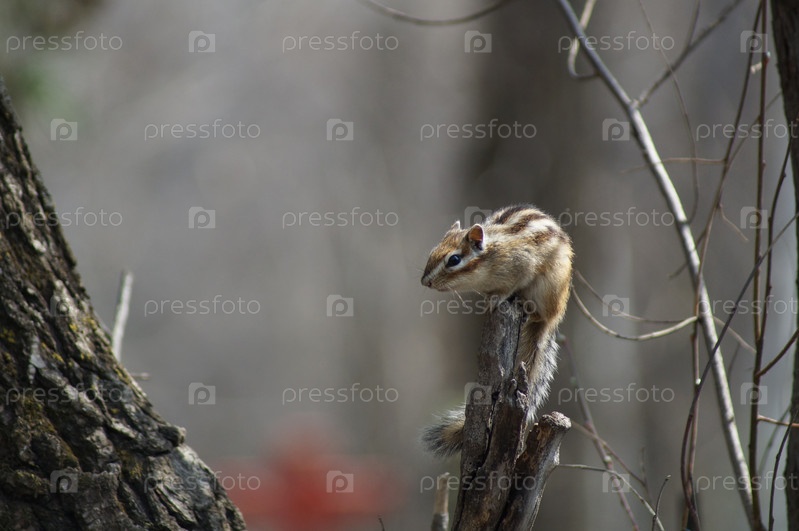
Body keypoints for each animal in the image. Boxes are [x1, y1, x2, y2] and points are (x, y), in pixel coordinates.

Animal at [420, 204, 573, 457]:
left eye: (454, 259)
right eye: (433, 252)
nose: (425, 282)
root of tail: (556, 315)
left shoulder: (523, 265)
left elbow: (510, 286)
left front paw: (497, 299)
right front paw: (487, 300)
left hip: (548, 290)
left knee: (539, 314)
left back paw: (526, 306)